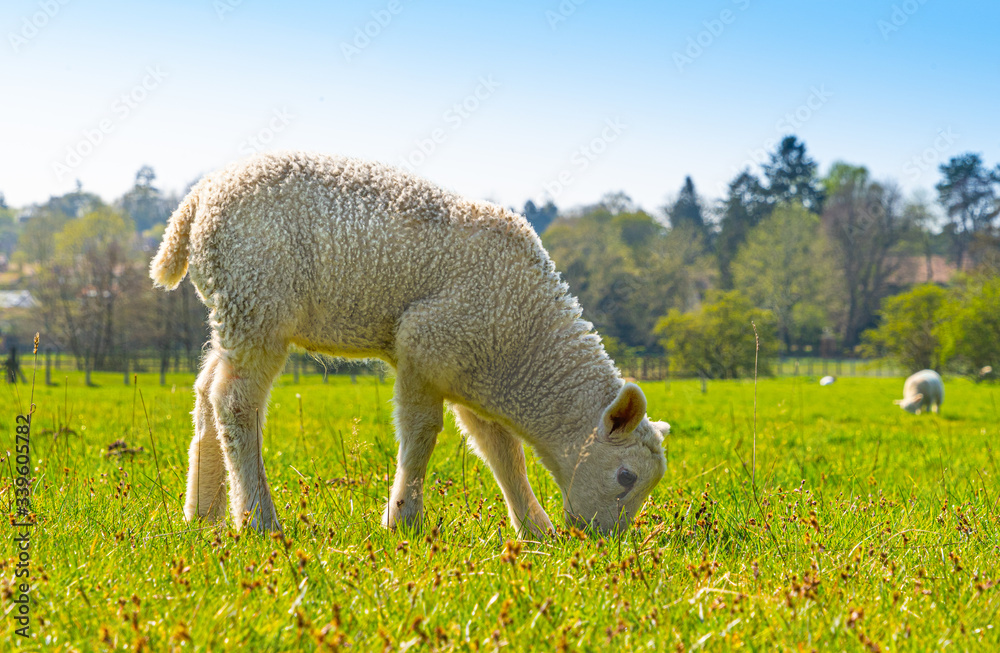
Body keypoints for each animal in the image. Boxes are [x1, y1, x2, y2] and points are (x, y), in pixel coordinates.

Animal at [150, 151, 668, 537]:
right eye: (625, 477)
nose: (603, 539)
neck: (525, 345)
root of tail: (195, 201)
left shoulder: (470, 368)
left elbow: (501, 451)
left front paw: (535, 530)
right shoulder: (425, 342)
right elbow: (422, 434)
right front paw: (403, 520)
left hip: (234, 307)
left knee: (207, 390)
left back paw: (204, 513)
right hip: (257, 297)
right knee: (236, 402)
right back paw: (258, 519)